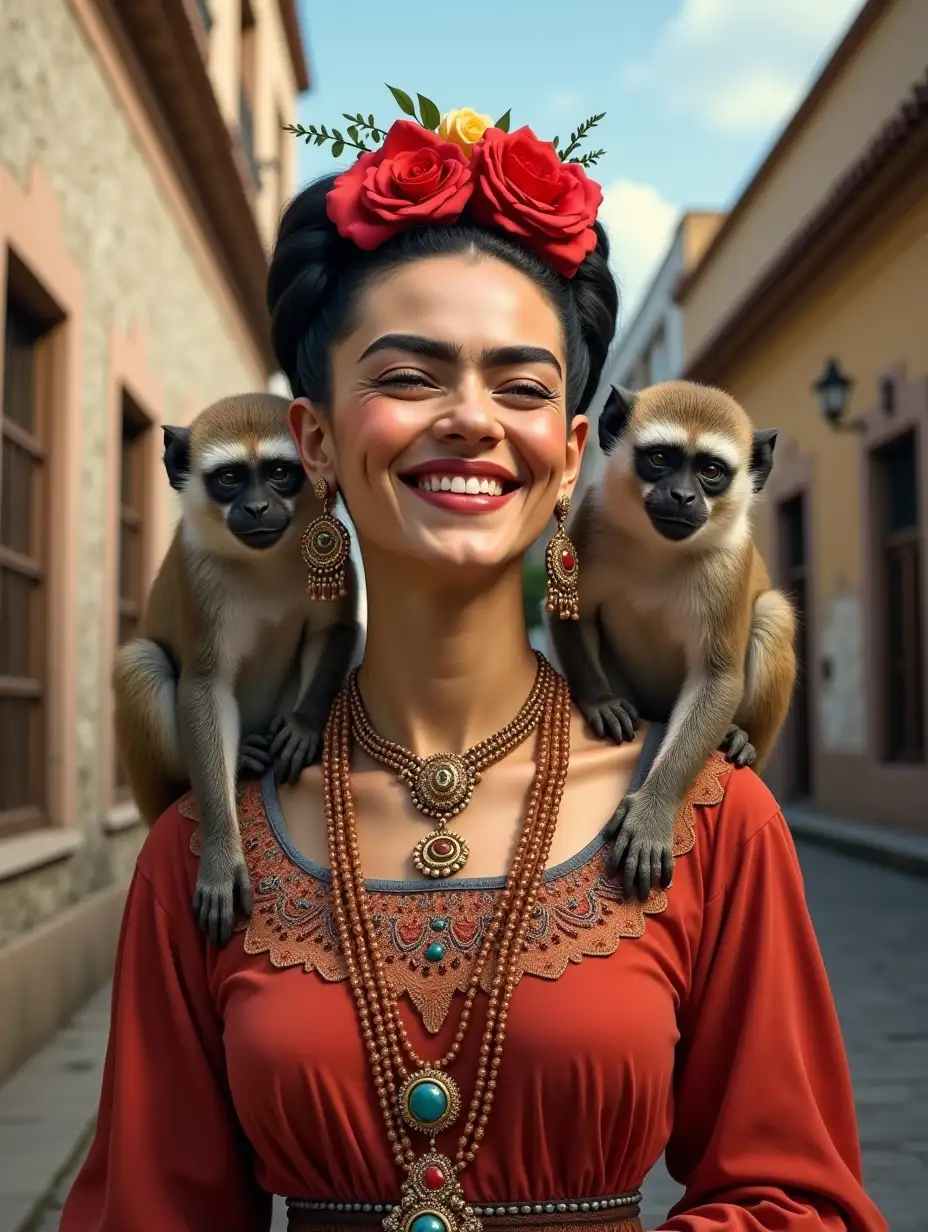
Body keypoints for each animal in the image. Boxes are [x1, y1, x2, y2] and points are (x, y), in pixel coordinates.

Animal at [113, 391, 359, 941]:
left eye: (279, 472)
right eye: (229, 478)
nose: (256, 507)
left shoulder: (334, 549)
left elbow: (335, 632)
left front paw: (303, 727)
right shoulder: (199, 572)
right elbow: (205, 685)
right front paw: (222, 855)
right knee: (141, 663)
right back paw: (239, 757)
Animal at [547, 384, 793, 906]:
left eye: (711, 471)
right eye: (660, 458)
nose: (682, 495)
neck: (660, 551)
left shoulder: (728, 562)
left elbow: (718, 679)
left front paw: (652, 813)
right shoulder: (593, 517)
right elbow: (572, 614)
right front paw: (602, 702)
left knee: (772, 614)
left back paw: (740, 739)